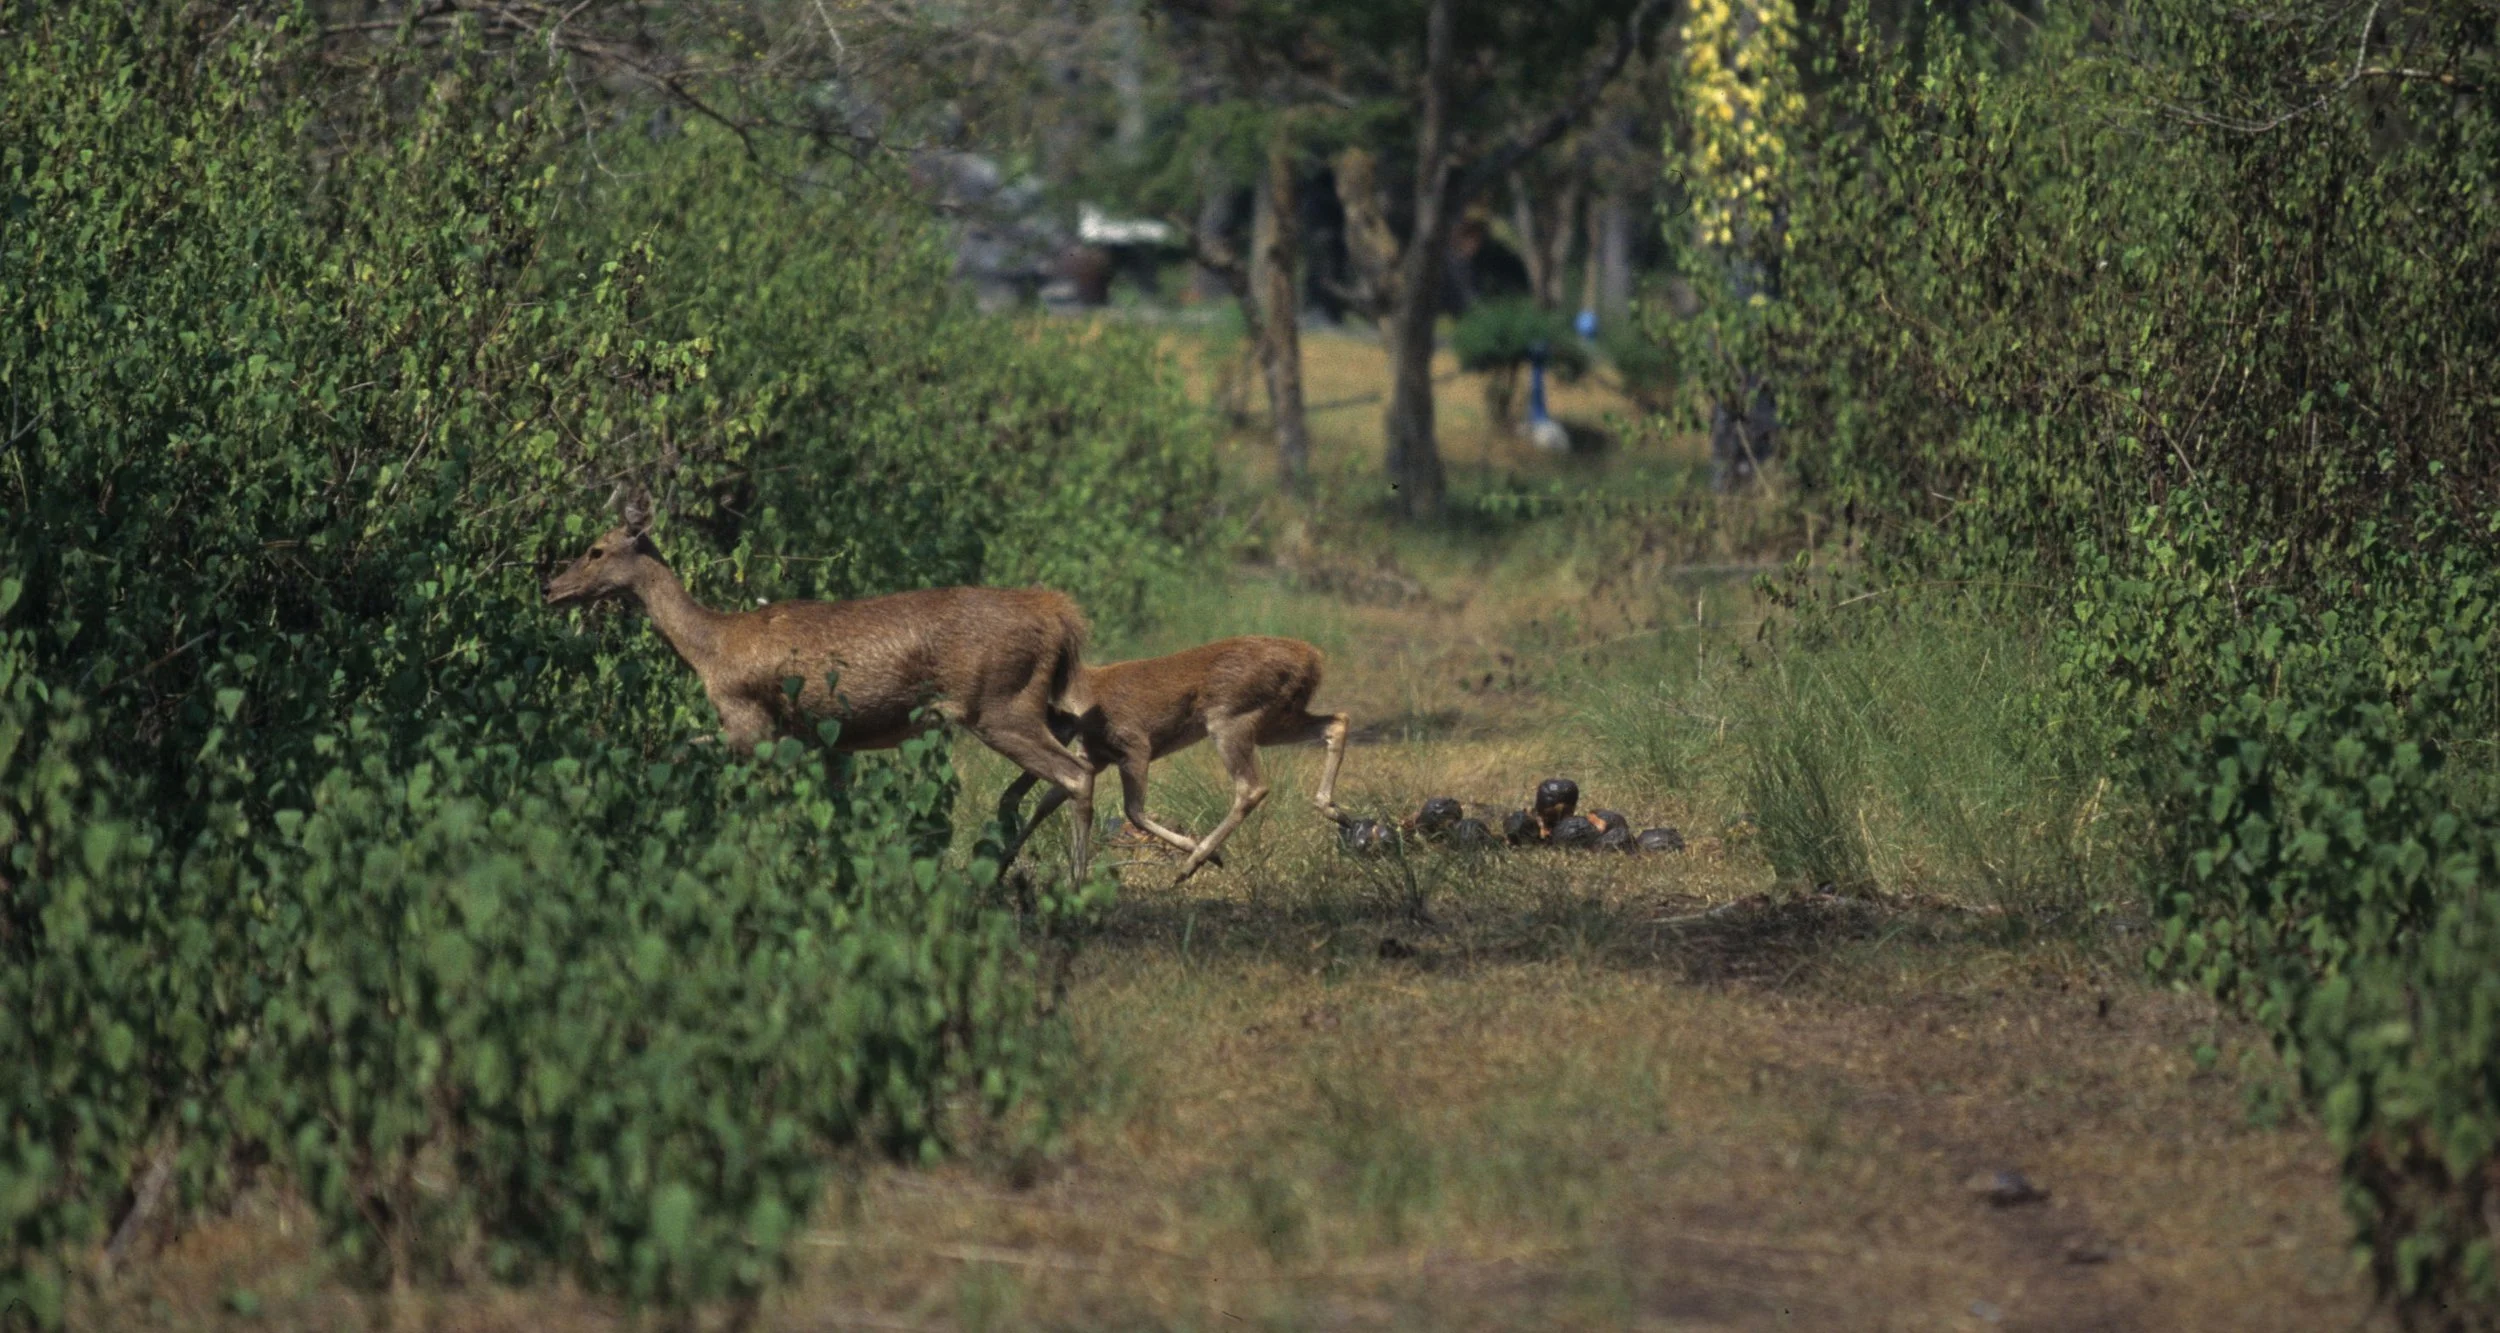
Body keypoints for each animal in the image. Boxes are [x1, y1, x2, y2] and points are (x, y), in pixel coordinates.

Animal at [543, 503, 1101, 881]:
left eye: (596, 549)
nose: (550, 588)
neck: (710, 649)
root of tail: (1061, 617)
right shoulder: (826, 740)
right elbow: (835, 814)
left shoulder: (752, 724)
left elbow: (685, 755)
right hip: (1032, 701)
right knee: (1067, 747)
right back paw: (1003, 863)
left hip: (998, 705)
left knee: (1076, 773)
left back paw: (1073, 883)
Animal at [995, 635, 1350, 882]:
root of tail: (1313, 659)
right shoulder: (1096, 758)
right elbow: (1047, 802)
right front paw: (1004, 860)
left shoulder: (1135, 745)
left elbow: (1134, 810)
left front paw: (1205, 855)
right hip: (1274, 718)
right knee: (1337, 721)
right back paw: (1334, 809)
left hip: (1230, 716)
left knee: (1252, 787)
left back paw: (1192, 863)